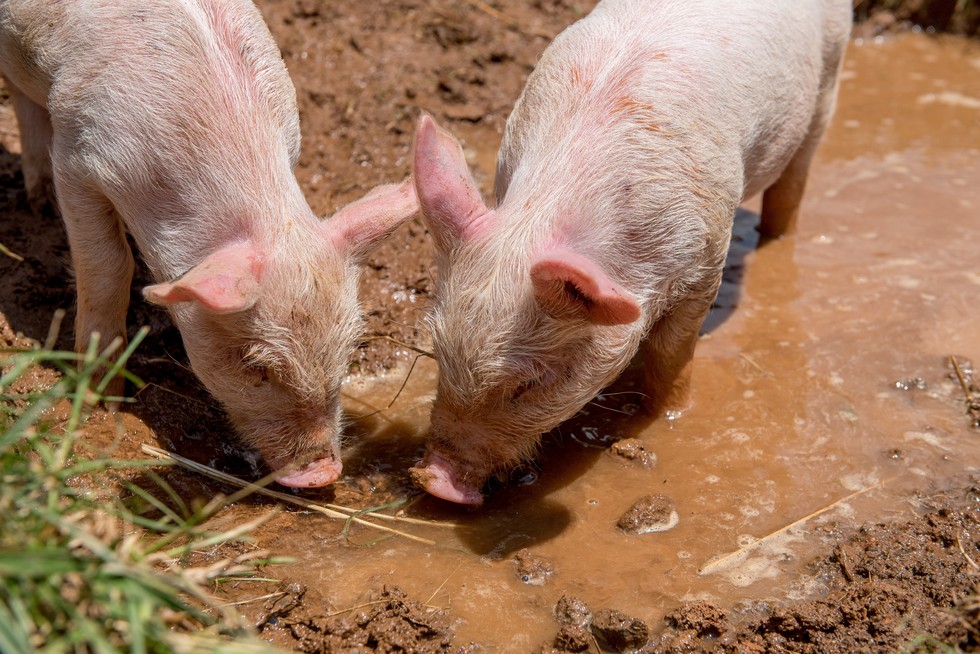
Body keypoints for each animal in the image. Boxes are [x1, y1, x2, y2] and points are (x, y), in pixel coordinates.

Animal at [0, 0, 418, 487]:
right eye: (256, 366)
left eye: (350, 350)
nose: (324, 473)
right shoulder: (78, 155)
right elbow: (108, 268)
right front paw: (102, 398)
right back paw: (41, 204)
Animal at [410, 0, 852, 504]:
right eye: (437, 352)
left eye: (529, 384)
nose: (436, 480)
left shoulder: (707, 254)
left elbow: (670, 354)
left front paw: (670, 415)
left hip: (830, 72)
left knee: (795, 180)